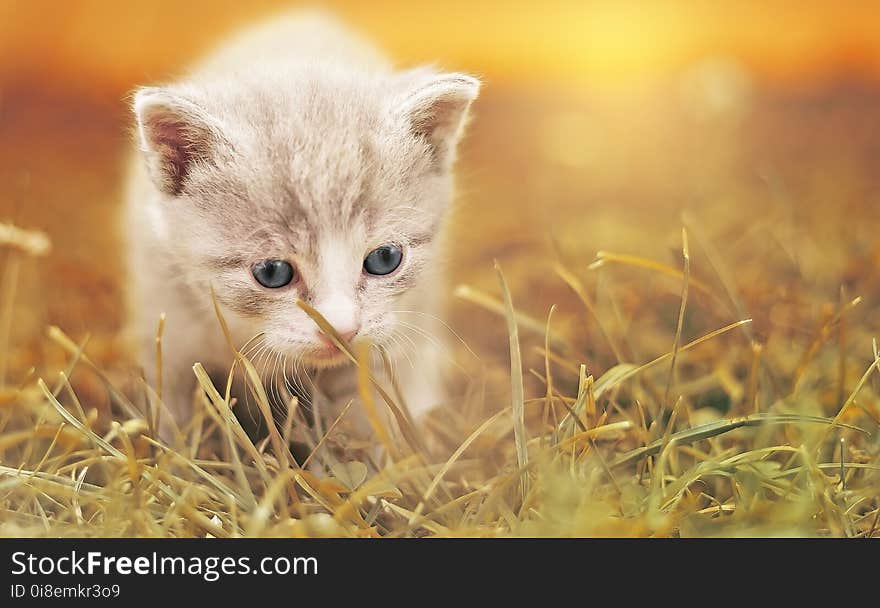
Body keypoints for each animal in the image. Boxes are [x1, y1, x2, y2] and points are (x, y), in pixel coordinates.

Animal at [120, 11, 478, 444]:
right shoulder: (166, 317)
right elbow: (173, 402)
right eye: (272, 272)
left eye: (384, 259)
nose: (341, 330)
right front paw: (174, 451)